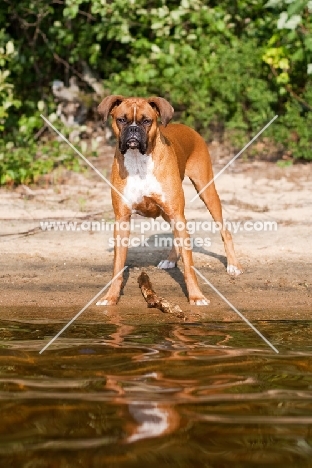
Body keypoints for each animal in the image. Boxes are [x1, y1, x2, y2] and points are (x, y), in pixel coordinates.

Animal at [96, 96, 243, 308]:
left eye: (146, 121)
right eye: (121, 120)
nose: (133, 130)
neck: (139, 162)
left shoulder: (177, 213)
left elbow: (189, 266)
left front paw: (196, 296)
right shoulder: (122, 220)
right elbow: (117, 266)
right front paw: (110, 297)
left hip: (205, 191)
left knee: (224, 231)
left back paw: (233, 265)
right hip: (168, 212)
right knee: (176, 234)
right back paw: (171, 259)